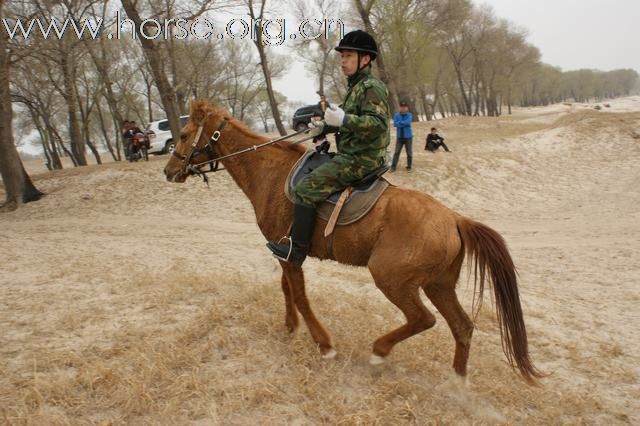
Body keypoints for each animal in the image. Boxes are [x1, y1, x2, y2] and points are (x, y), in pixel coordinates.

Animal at [162, 101, 544, 384]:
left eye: (183, 134)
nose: (168, 172)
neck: (269, 173)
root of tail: (454, 218)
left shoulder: (290, 254)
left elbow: (299, 295)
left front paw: (324, 344)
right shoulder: (285, 252)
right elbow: (286, 289)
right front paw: (290, 327)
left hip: (392, 279)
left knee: (423, 319)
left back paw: (379, 351)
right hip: (438, 284)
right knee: (461, 327)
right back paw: (457, 383)